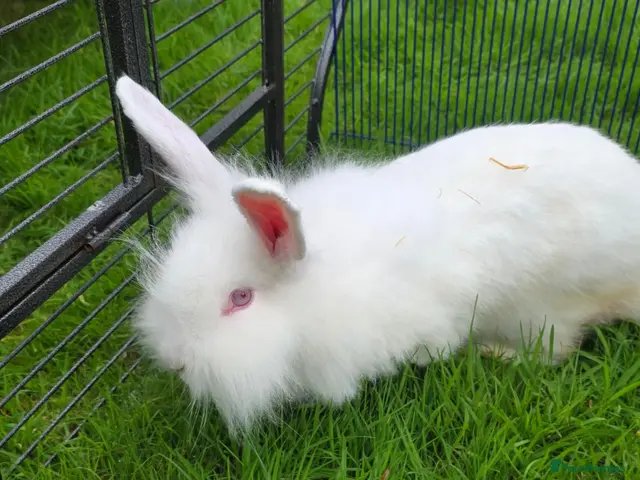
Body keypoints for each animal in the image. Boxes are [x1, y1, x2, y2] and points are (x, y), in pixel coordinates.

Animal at [115, 74, 640, 433]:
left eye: (240, 299)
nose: (175, 362)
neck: (313, 294)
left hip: (545, 309)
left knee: (556, 351)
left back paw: (494, 352)